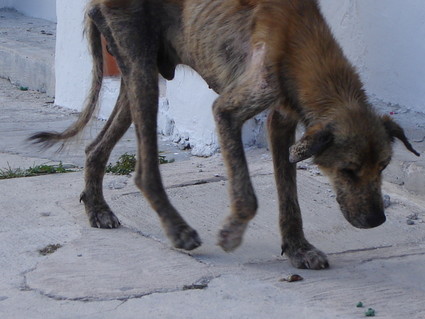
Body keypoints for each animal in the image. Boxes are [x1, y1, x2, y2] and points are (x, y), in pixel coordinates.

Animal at [29, 0, 418, 270]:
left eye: (383, 168)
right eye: (347, 171)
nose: (377, 221)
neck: (298, 40)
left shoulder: (282, 122)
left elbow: (289, 195)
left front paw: (297, 248)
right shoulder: (230, 109)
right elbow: (248, 196)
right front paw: (231, 233)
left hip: (136, 74)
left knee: (95, 147)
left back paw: (97, 208)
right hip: (141, 69)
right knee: (143, 170)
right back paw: (178, 230)